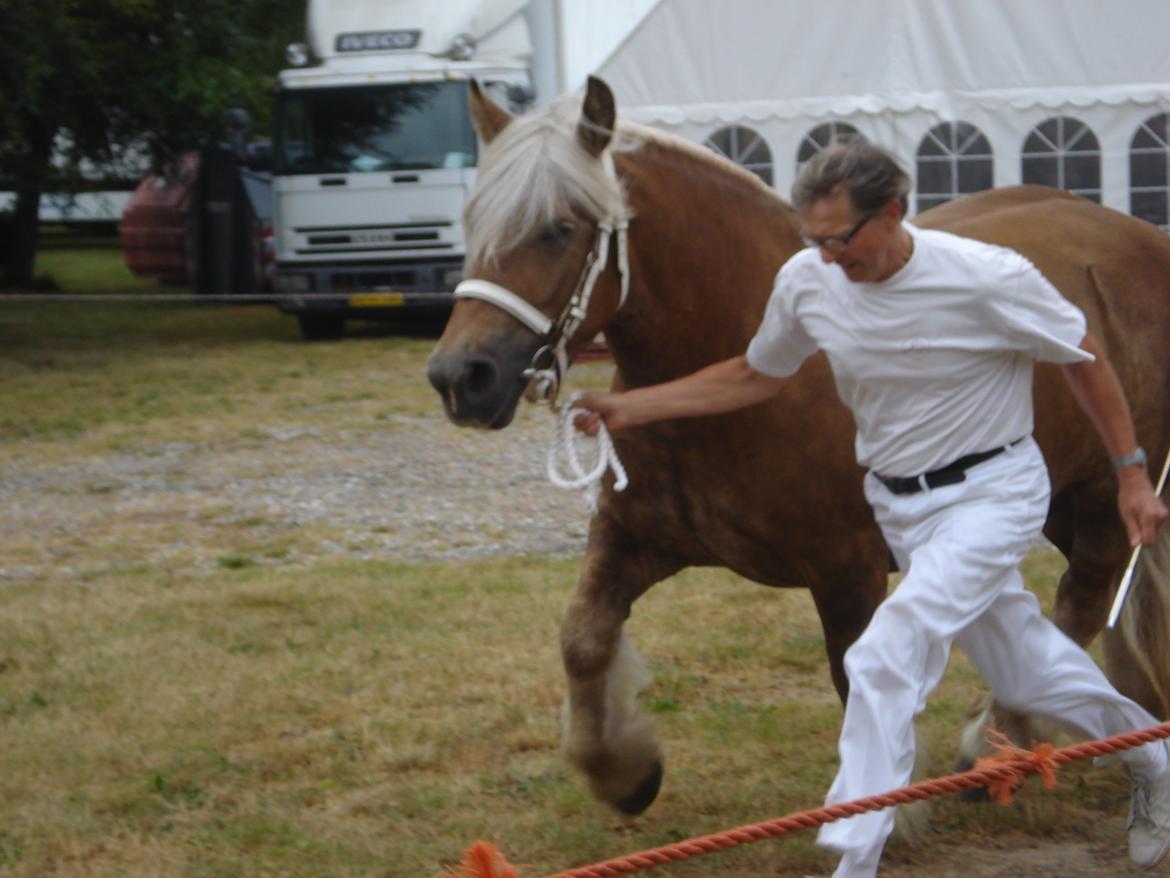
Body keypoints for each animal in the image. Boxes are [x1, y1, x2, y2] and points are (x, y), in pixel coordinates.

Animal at [425, 79, 1170, 814]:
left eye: (559, 229)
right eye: (474, 222)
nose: (459, 377)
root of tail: (1138, 239)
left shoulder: (846, 568)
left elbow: (852, 674)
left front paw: (889, 806)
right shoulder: (631, 540)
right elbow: (582, 638)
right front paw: (622, 771)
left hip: (1105, 495)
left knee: (1084, 599)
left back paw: (995, 747)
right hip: (1057, 503)